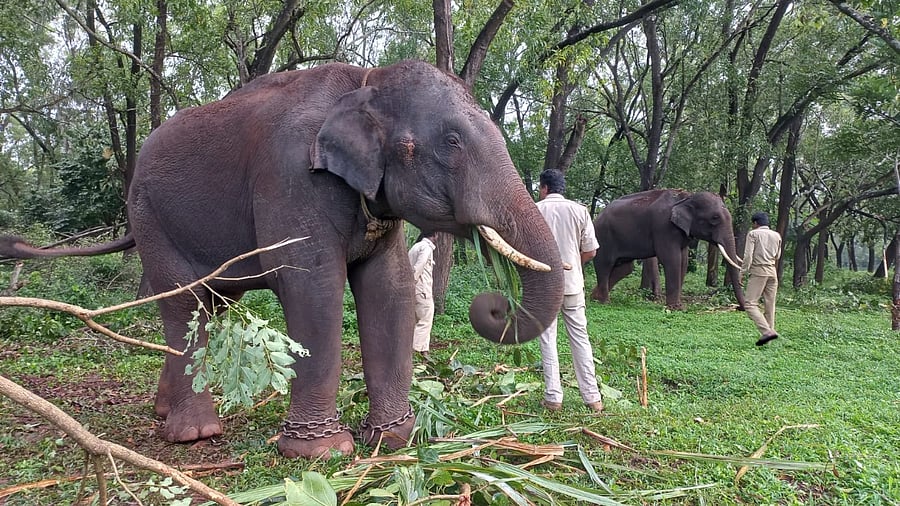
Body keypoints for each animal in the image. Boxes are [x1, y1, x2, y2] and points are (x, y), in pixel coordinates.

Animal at [0, 60, 565, 459]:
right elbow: (313, 288)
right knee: (185, 303)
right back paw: (195, 434)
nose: (494, 304)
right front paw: (321, 452)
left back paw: (166, 412)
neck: (364, 83)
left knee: (211, 304)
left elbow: (390, 290)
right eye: (450, 142)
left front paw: (395, 440)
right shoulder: (291, 180)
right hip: (152, 218)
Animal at [589, 189, 746, 310]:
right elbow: (672, 259)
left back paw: (593, 297)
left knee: (625, 268)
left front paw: (679, 306)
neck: (686, 197)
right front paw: (676, 308)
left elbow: (683, 261)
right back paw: (604, 302)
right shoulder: (663, 227)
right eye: (714, 218)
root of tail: (597, 216)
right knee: (605, 264)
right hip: (603, 237)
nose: (739, 308)